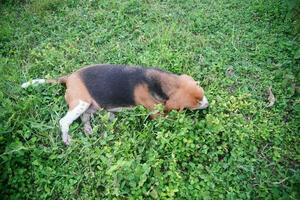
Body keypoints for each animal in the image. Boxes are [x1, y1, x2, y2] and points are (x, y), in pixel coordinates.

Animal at [21, 65, 209, 145]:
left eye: (202, 93)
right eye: (196, 103)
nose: (207, 105)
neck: (159, 82)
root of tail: (68, 77)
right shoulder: (156, 113)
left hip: (88, 105)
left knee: (85, 118)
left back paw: (89, 130)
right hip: (80, 102)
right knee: (64, 121)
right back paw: (66, 139)